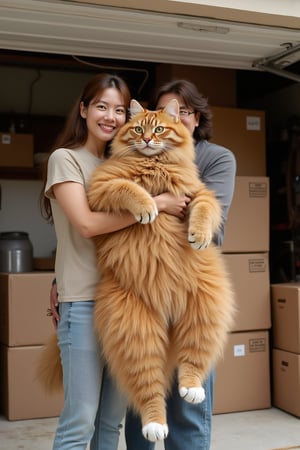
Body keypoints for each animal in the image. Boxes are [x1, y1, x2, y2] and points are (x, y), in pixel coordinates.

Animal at [86, 98, 234, 440]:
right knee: (149, 389)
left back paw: (192, 389)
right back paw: (155, 426)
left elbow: (204, 209)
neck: (157, 163)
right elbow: (129, 188)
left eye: (160, 129)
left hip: (203, 307)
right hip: (137, 329)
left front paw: (199, 236)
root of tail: (167, 310)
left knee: (191, 364)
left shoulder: (198, 193)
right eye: (139, 128)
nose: (147, 140)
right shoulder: (101, 187)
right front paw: (148, 208)